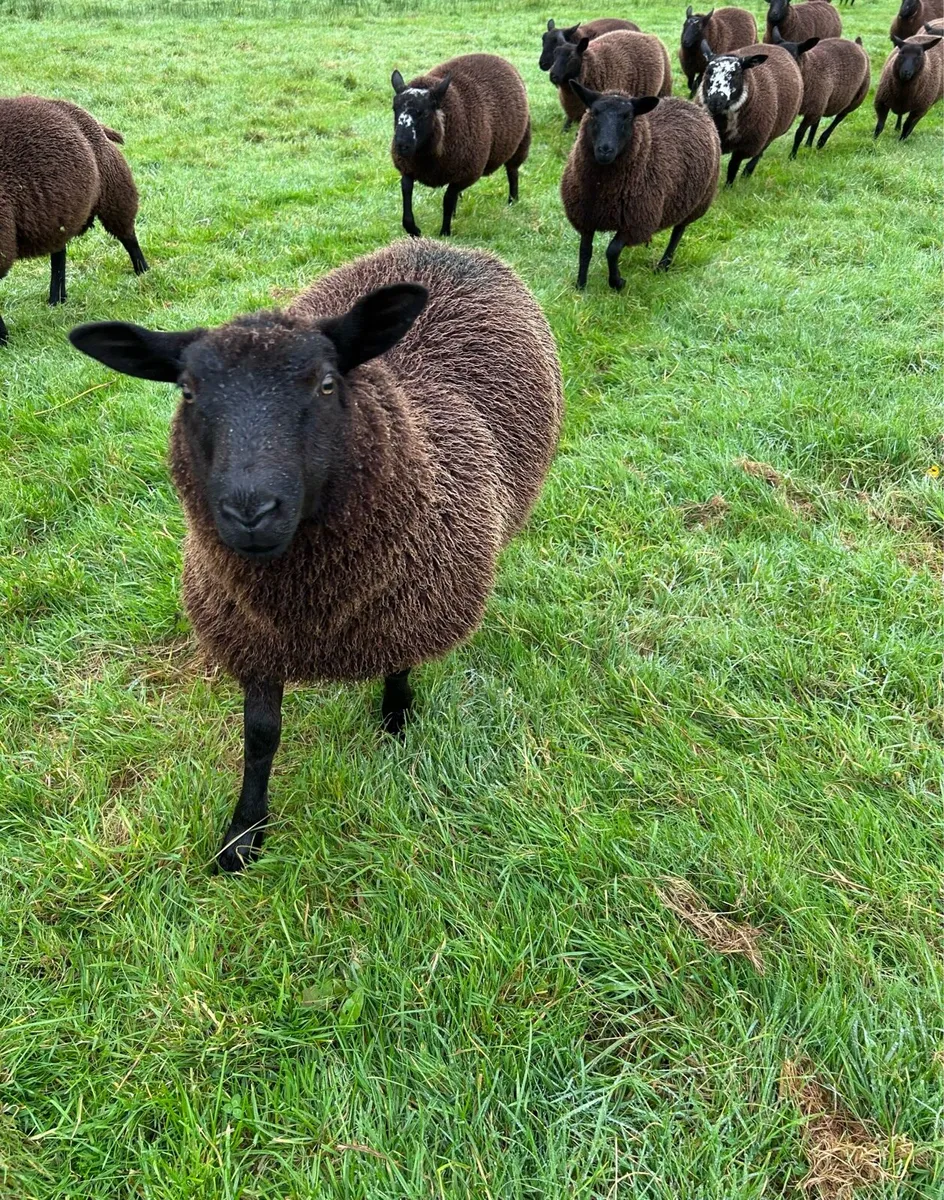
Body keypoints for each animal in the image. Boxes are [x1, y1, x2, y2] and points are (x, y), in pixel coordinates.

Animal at [0, 95, 148, 347]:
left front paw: (3, 339)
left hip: (115, 193)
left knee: (128, 237)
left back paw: (143, 271)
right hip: (58, 215)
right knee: (59, 255)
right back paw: (57, 299)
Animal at [67, 238, 564, 872]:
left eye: (327, 384)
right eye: (187, 391)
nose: (250, 511)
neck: (309, 609)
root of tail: (438, 244)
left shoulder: (406, 610)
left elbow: (399, 669)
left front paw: (395, 722)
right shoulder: (253, 638)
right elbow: (260, 736)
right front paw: (243, 834)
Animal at [390, 54, 530, 239]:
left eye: (425, 112)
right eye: (394, 109)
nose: (401, 145)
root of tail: (494, 56)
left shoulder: (467, 173)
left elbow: (448, 199)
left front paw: (445, 233)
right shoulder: (408, 167)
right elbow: (406, 190)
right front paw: (414, 230)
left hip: (520, 144)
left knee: (513, 172)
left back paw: (513, 201)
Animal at [560, 83, 720, 287]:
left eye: (628, 117)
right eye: (594, 113)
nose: (605, 150)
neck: (603, 191)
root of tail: (688, 103)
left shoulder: (635, 222)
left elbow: (612, 250)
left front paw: (617, 282)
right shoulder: (585, 218)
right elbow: (585, 251)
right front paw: (580, 284)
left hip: (695, 203)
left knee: (678, 232)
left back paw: (663, 265)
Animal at [697, 40, 804, 183]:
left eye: (736, 74)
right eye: (708, 72)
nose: (715, 101)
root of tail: (775, 46)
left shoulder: (746, 146)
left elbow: (733, 167)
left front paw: (728, 186)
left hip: (769, 134)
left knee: (760, 153)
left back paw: (747, 173)